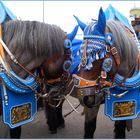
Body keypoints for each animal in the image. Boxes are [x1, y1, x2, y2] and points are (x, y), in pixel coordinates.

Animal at [71, 8, 140, 138]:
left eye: (97, 54)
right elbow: (89, 128)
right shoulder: (93, 103)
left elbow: (120, 129)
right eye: (79, 53)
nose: (84, 97)